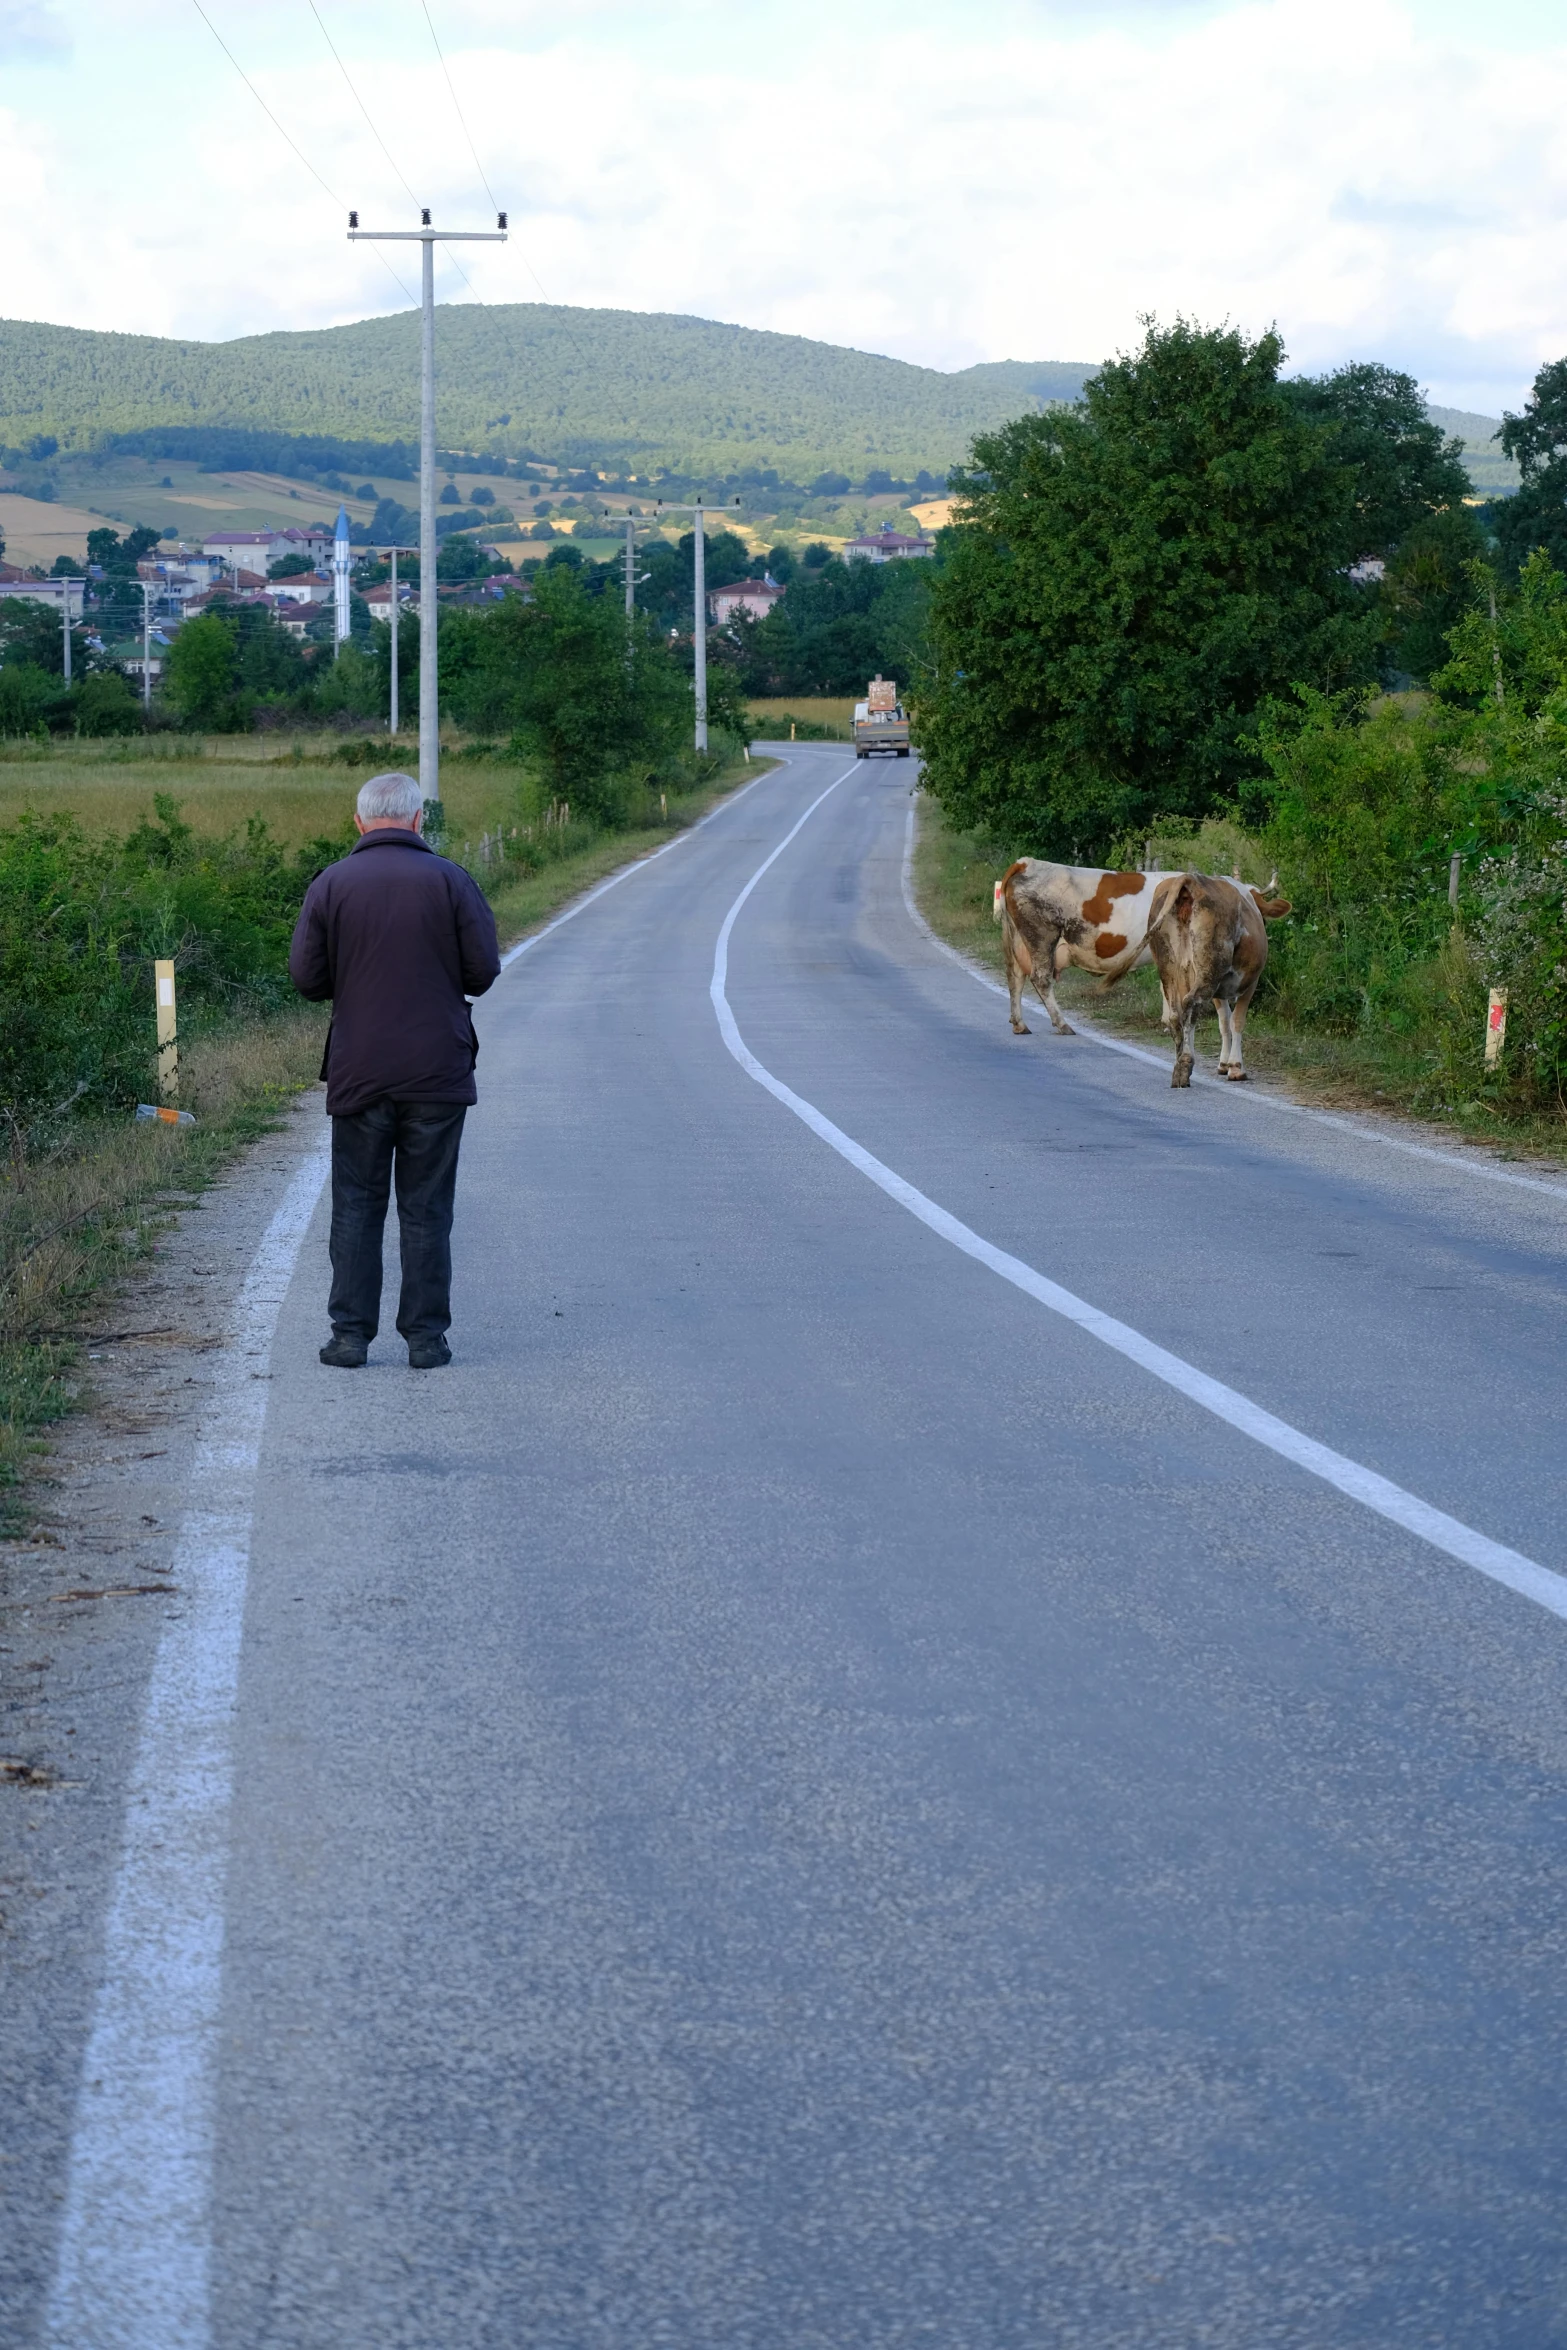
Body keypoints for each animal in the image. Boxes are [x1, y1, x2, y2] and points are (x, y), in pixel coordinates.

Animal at [991, 860, 1174, 1034]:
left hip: (1018, 939)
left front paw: (1167, 1022)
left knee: (1015, 976)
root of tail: (1025, 863)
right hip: (1041, 937)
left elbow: (1165, 985)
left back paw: (1020, 1025)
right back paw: (1062, 1024)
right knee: (1040, 978)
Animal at [1146, 874, 1296, 1090]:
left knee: (1176, 1014)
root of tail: (1189, 879)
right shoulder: (1250, 982)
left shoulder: (1218, 990)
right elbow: (1237, 1020)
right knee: (1191, 1003)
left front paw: (1223, 1064)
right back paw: (1185, 1064)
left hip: (1170, 970)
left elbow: (1224, 1021)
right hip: (1209, 968)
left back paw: (1178, 1065)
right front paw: (1236, 1067)